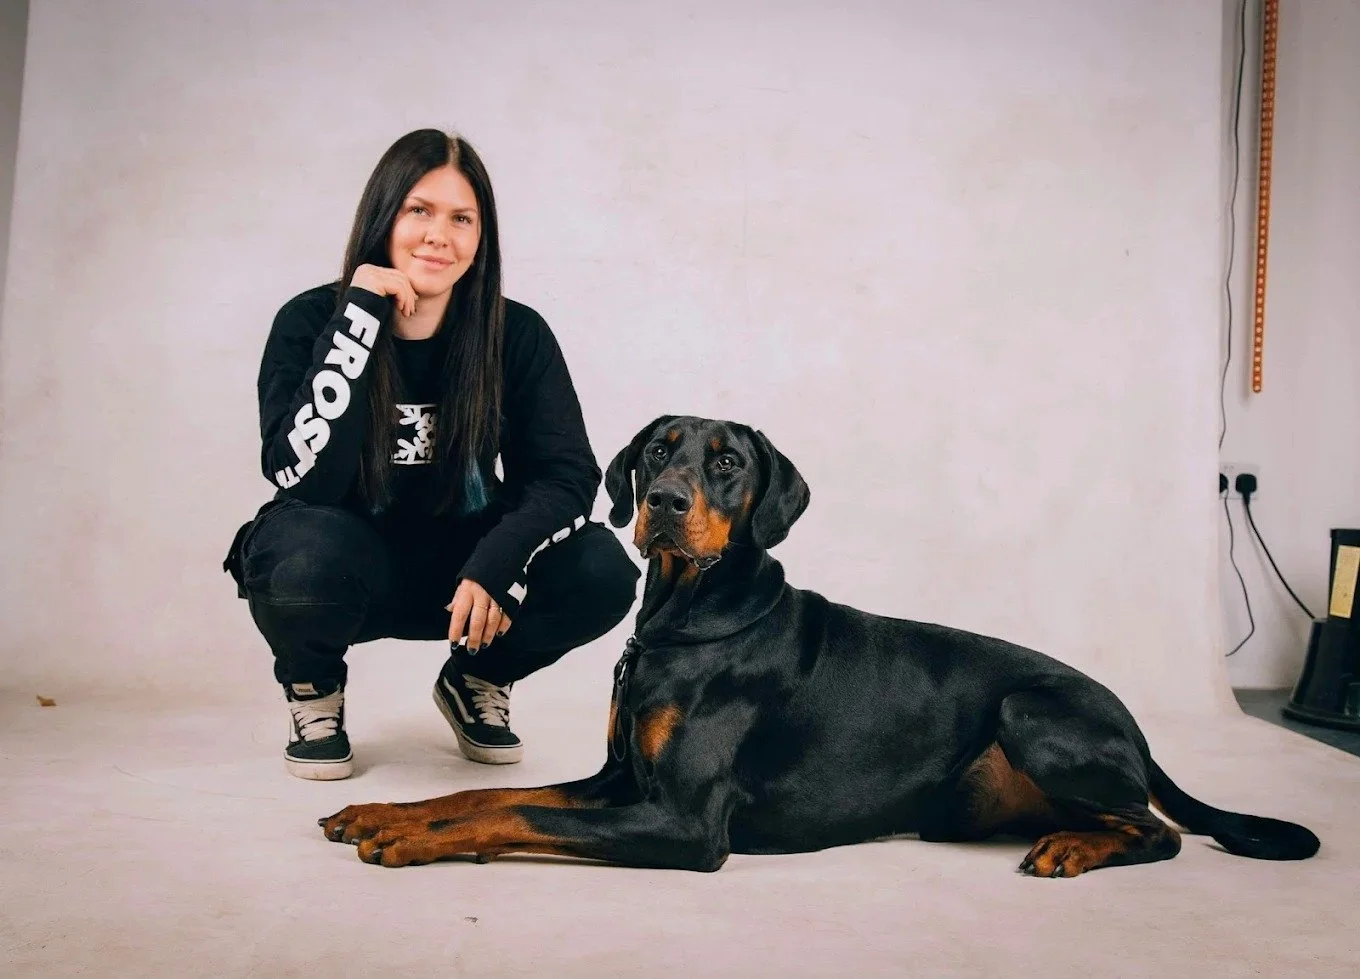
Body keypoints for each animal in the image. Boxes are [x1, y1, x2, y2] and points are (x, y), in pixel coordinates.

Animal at [320, 414, 1320, 876]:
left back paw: (1077, 845)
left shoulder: (684, 824)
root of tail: (1138, 726)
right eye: (658, 449)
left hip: (1032, 706)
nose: (665, 503)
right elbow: (490, 793)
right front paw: (386, 814)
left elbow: (514, 815)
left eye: (727, 461)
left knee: (1161, 829)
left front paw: (408, 842)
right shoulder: (618, 779)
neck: (684, 621)